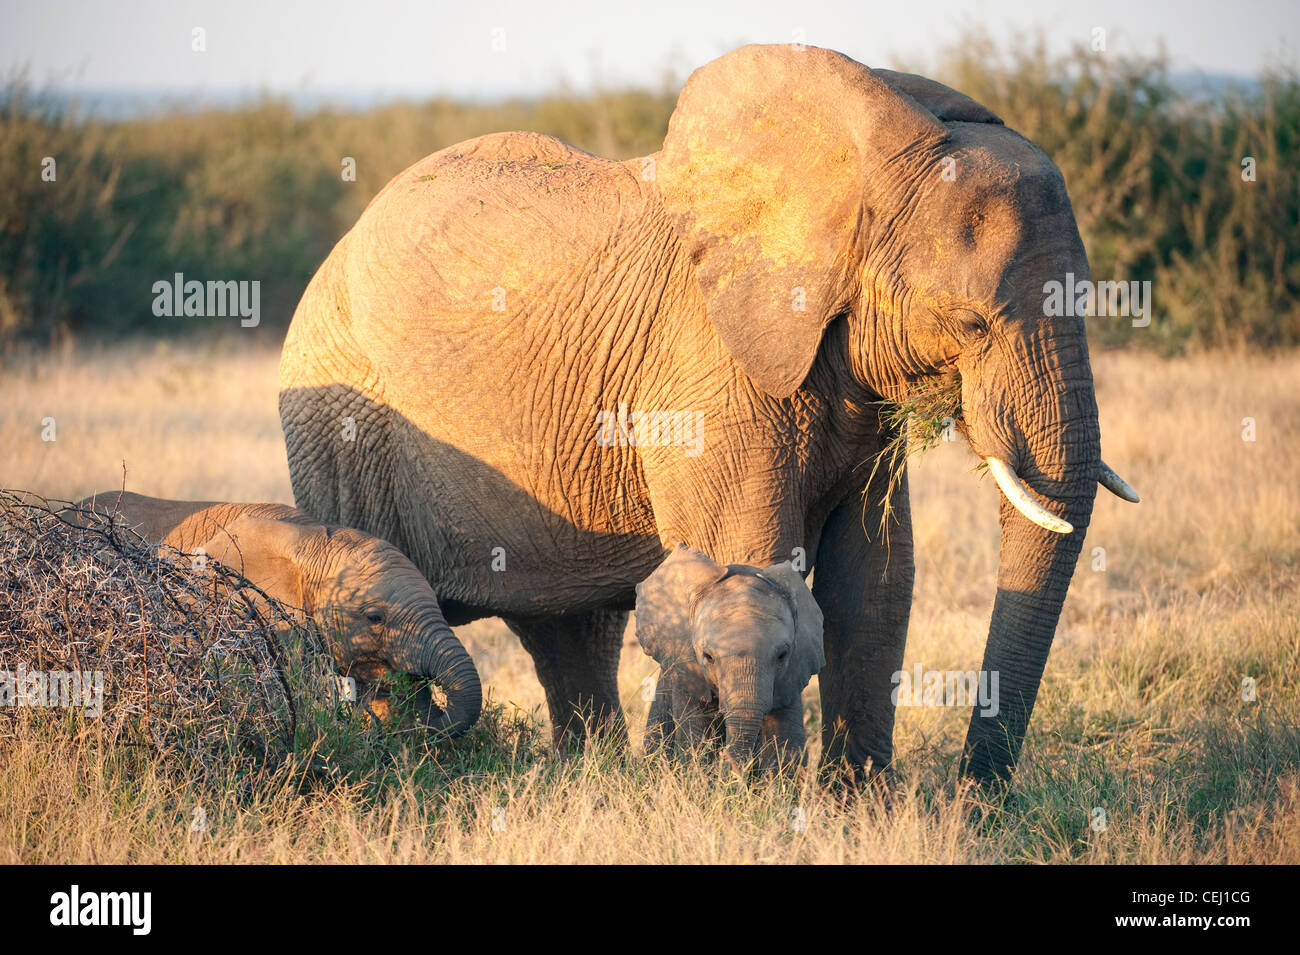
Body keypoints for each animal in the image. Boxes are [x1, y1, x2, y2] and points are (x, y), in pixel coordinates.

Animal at [634, 544, 824, 771]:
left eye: (782, 656)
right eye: (708, 657)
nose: (727, 759)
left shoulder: (791, 676)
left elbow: (784, 749)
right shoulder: (688, 673)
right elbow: (697, 740)